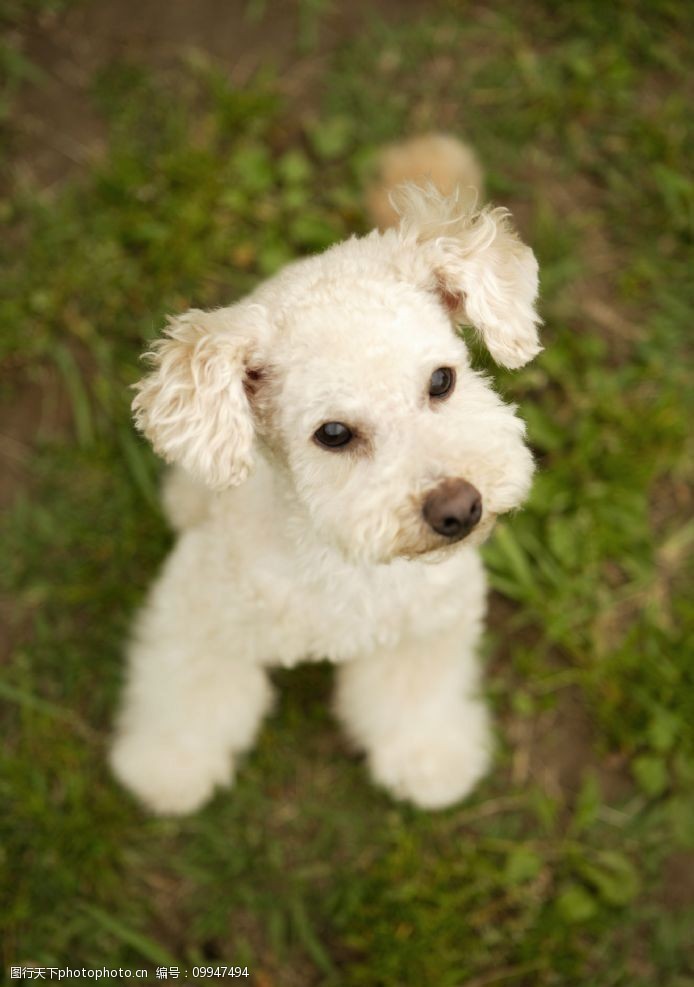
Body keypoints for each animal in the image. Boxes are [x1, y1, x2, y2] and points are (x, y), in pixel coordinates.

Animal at [110, 135, 544, 816]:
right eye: (333, 434)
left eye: (441, 380)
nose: (459, 509)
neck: (342, 561)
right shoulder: (198, 616)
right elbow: (189, 696)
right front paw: (169, 770)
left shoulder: (427, 628)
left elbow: (414, 697)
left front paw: (427, 758)